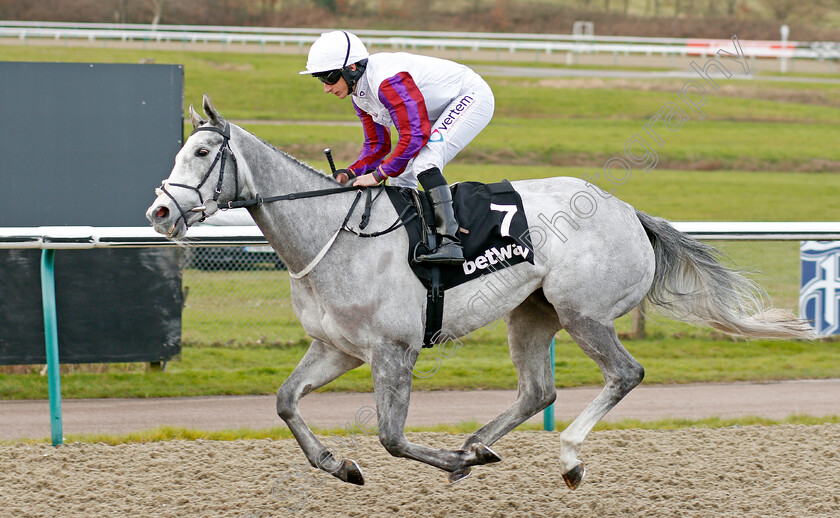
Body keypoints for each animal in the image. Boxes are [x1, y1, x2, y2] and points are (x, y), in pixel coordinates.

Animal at [148, 96, 816, 492]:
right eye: (180, 149)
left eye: (202, 152)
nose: (159, 212)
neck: (332, 235)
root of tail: (629, 211)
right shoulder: (336, 348)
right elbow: (286, 401)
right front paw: (340, 465)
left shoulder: (395, 351)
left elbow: (392, 437)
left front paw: (451, 463)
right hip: (532, 313)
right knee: (537, 390)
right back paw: (480, 443)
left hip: (583, 312)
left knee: (625, 373)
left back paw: (565, 456)